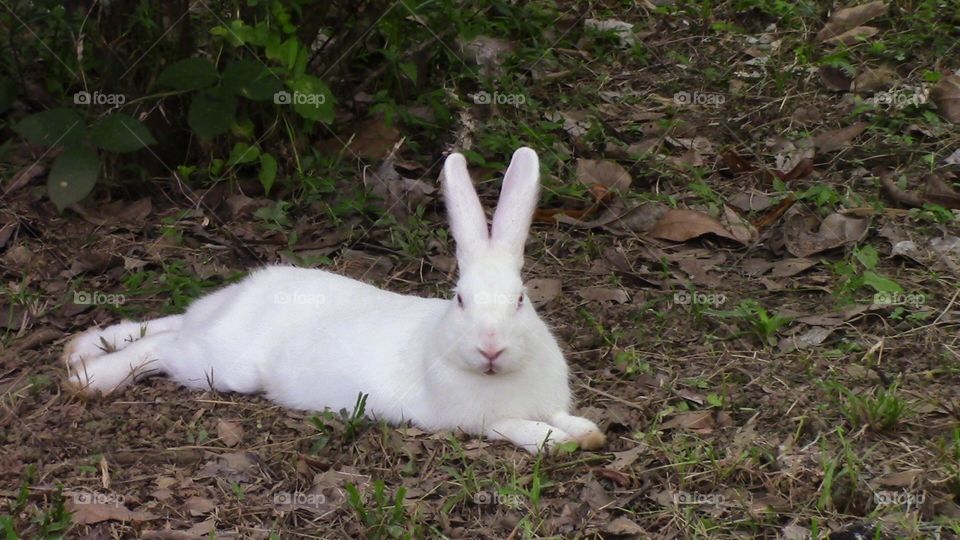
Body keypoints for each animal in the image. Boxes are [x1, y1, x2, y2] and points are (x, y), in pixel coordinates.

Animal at [63, 147, 606, 454]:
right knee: (163, 349)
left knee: (172, 322)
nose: (490, 348)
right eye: (459, 300)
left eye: (520, 299)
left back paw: (82, 347)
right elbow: (523, 429)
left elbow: (561, 417)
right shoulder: (477, 421)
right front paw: (563, 443)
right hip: (219, 367)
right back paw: (88, 380)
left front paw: (586, 431)